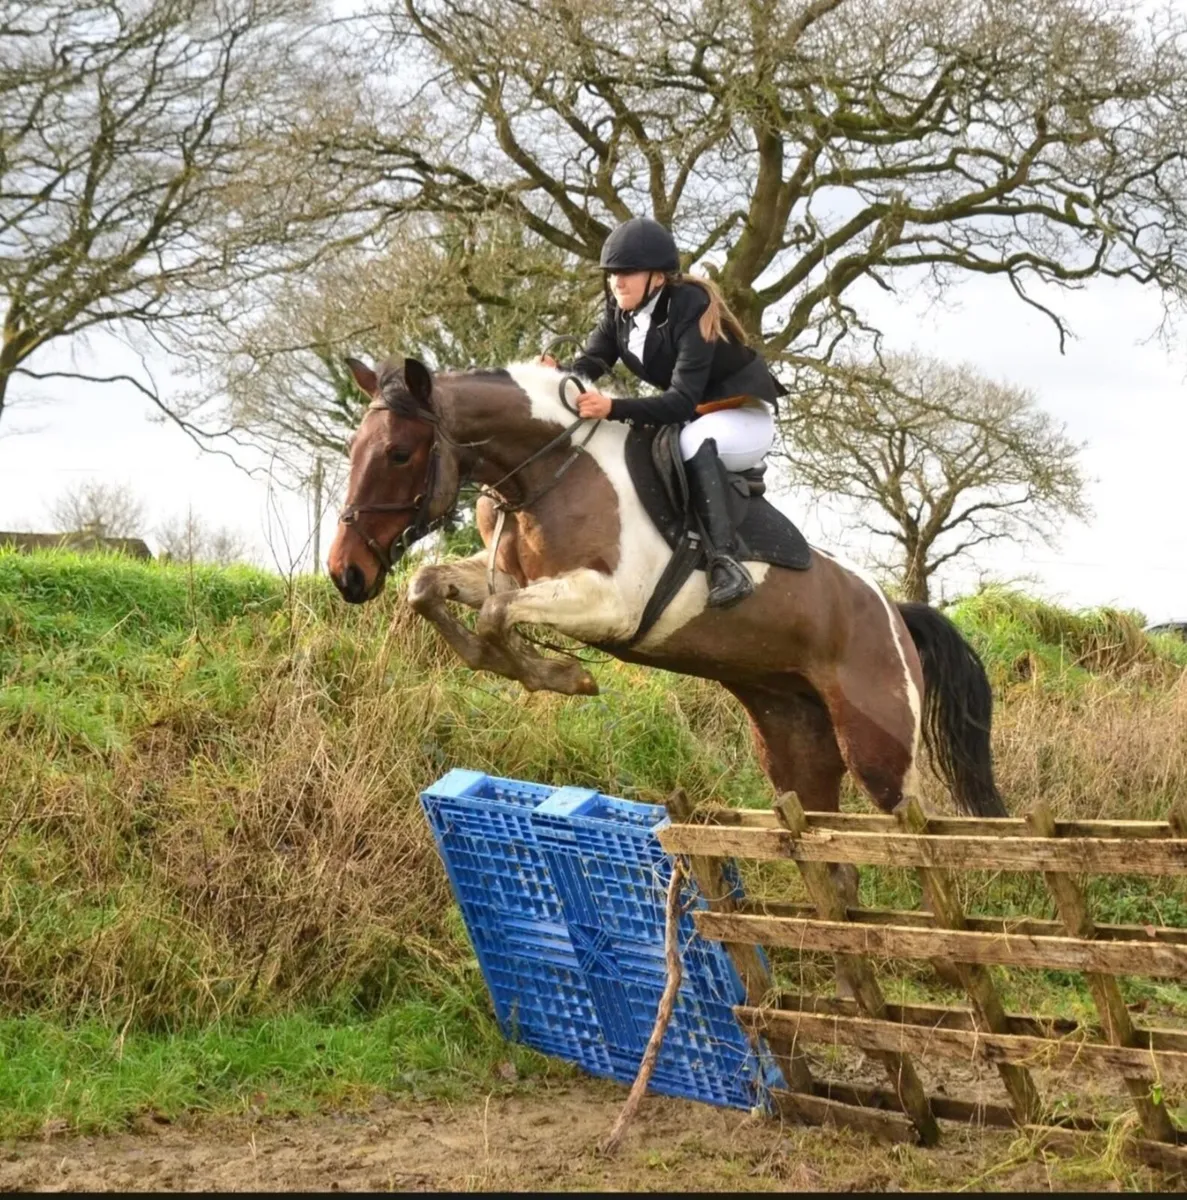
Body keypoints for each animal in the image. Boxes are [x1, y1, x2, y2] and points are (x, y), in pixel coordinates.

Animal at [328, 355, 1008, 859]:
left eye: (398, 454)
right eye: (354, 447)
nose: (346, 574)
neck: (551, 470)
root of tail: (895, 614)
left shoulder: (610, 604)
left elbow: (496, 617)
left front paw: (562, 676)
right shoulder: (507, 577)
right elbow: (428, 586)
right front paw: (509, 663)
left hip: (882, 751)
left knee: (915, 830)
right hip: (796, 744)